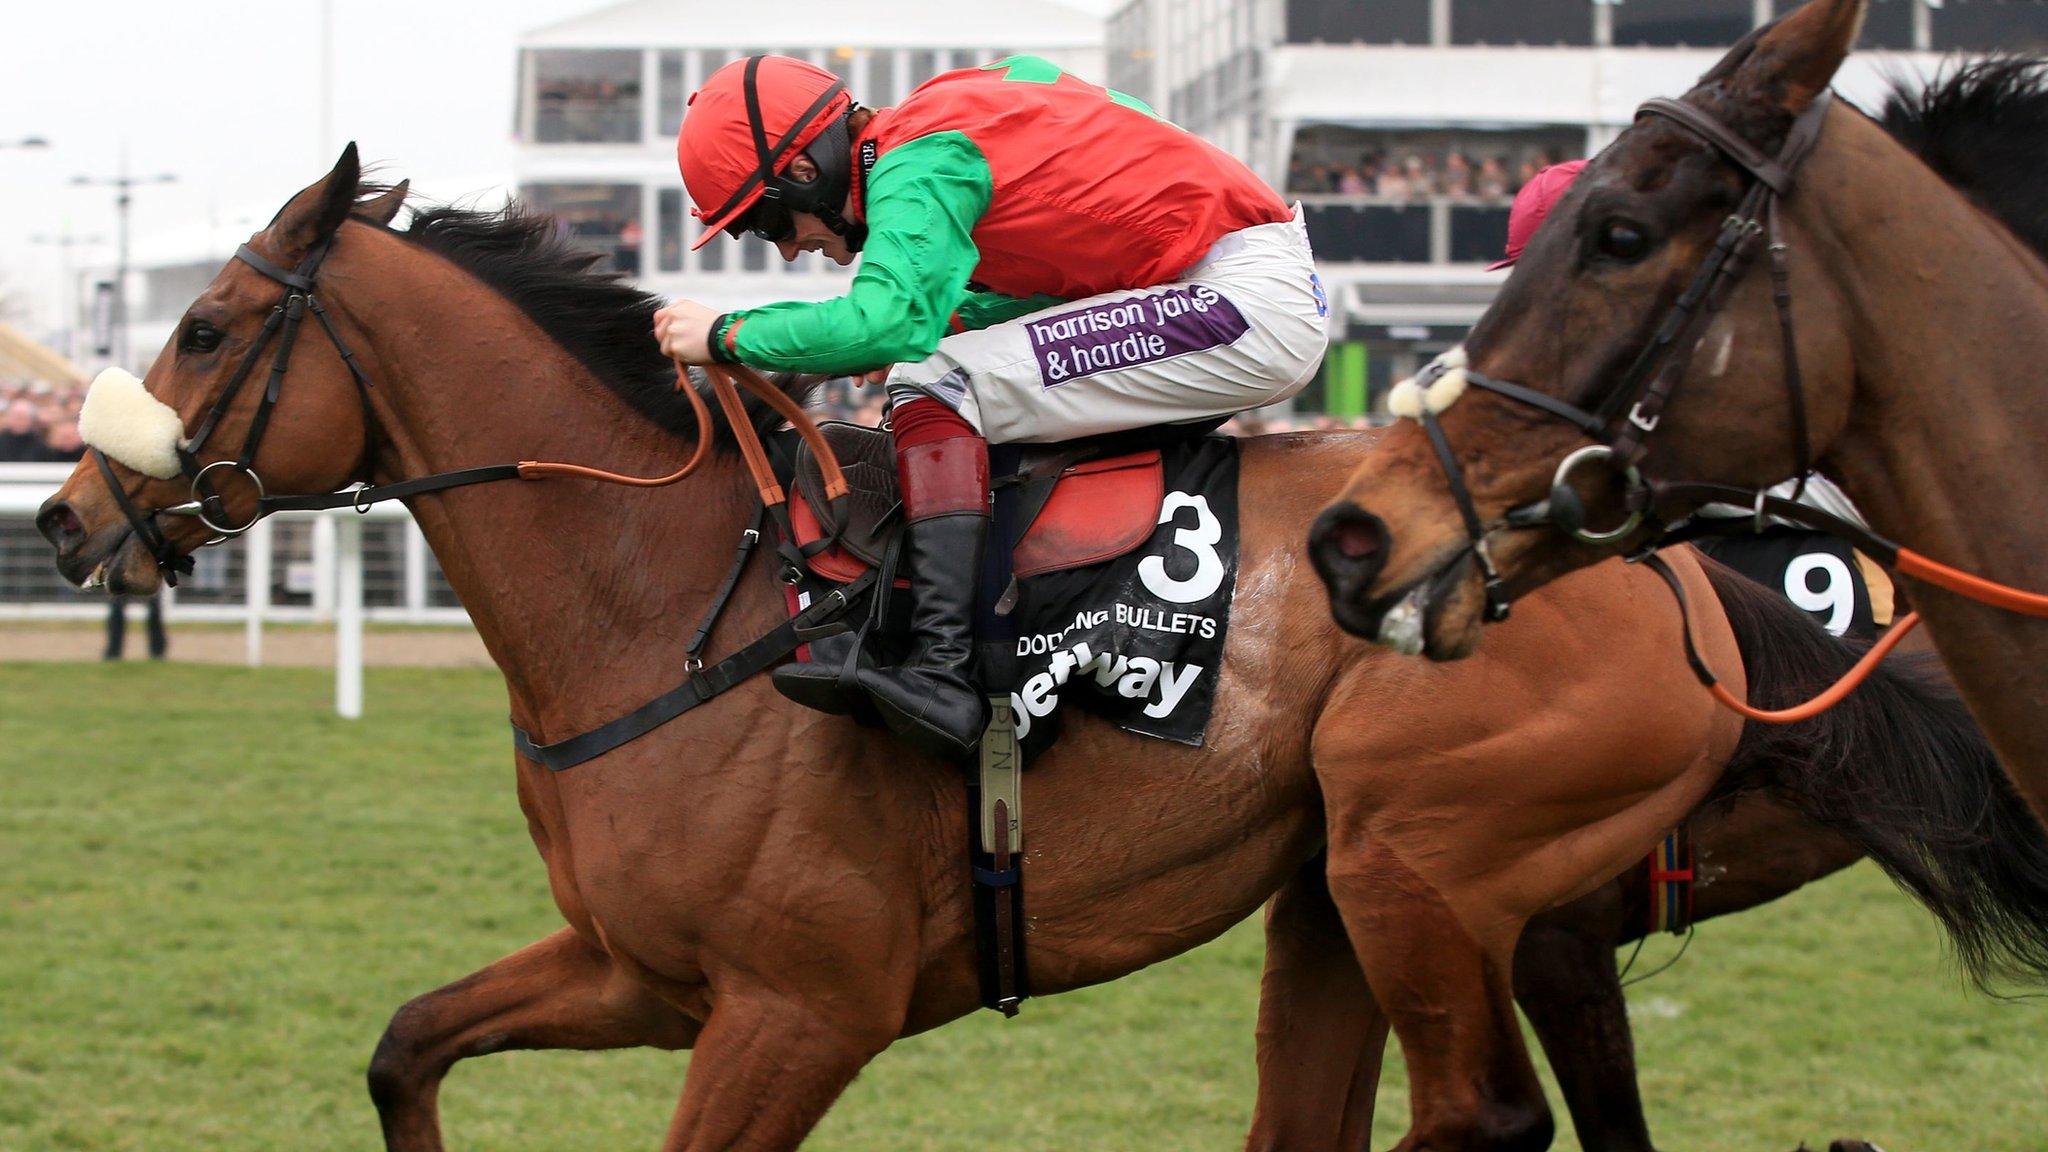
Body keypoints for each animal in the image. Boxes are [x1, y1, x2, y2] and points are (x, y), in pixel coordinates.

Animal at [28, 152, 2048, 1147]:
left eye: (208, 326)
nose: (65, 520)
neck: (672, 598)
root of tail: (1647, 561)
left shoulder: (798, 1007)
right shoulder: (642, 972)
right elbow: (402, 1050)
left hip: (1426, 864)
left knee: (1481, 1120)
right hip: (1341, 897)